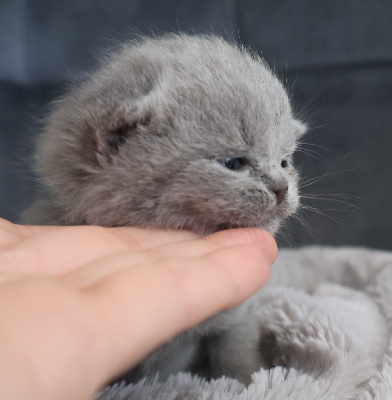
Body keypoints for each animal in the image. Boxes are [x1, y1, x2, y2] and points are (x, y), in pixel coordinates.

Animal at [23, 36, 306, 382]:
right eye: (232, 163)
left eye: (285, 162)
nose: (282, 188)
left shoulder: (237, 318)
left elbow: (236, 353)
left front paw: (247, 382)